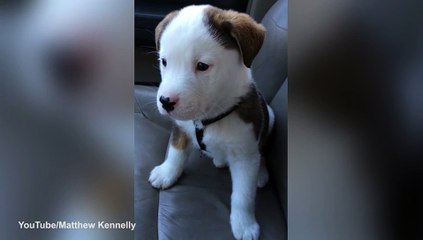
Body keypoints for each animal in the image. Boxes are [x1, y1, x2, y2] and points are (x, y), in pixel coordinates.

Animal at [149, 4, 274, 240]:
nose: (165, 101)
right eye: (164, 62)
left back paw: (261, 174)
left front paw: (244, 224)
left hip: (270, 118)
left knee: (261, 151)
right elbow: (176, 153)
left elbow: (243, 195)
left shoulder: (244, 154)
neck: (208, 118)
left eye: (202, 66)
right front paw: (167, 173)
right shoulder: (181, 127)